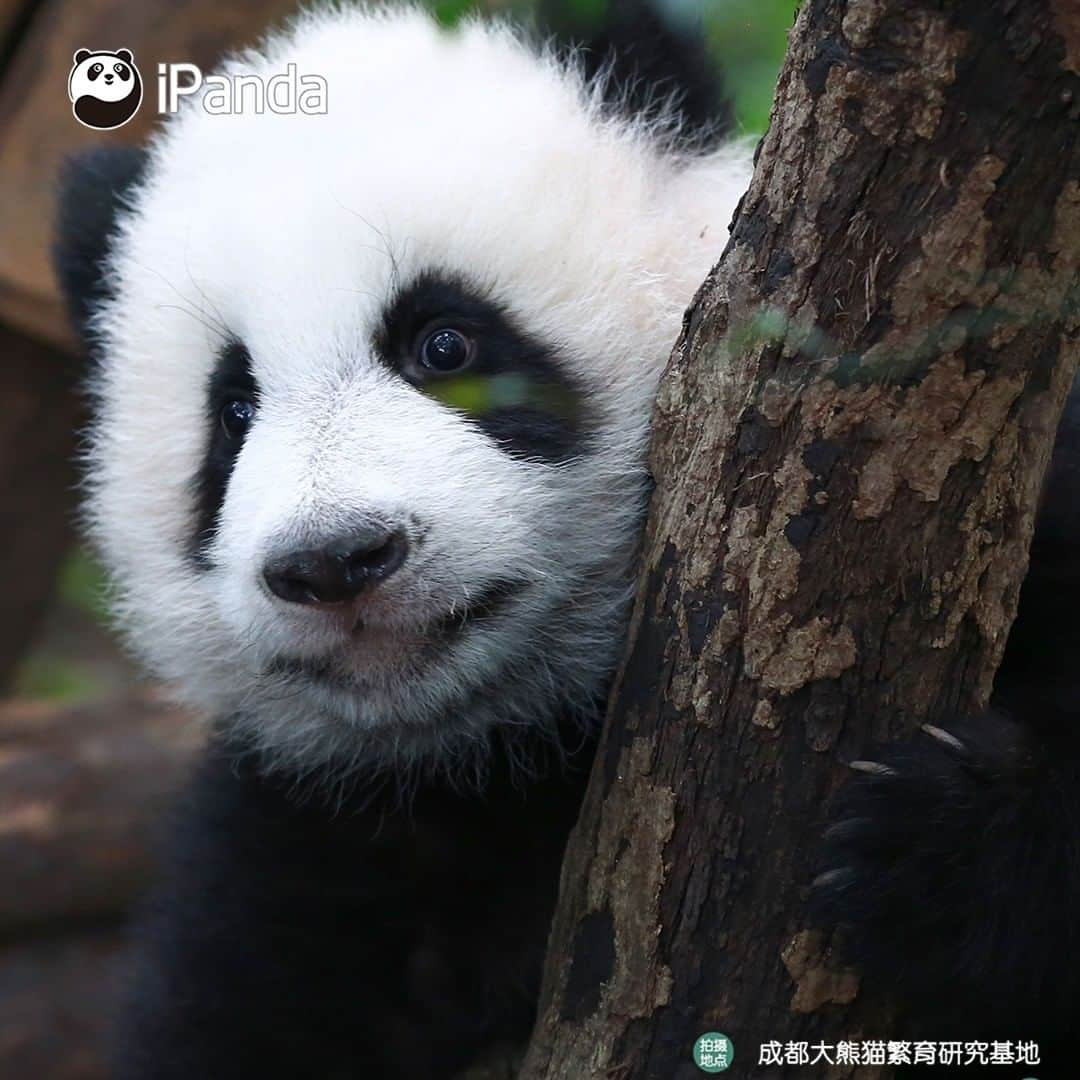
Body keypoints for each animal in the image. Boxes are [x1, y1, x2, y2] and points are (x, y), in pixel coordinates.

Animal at [54, 2, 1080, 1080]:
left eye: (446, 345)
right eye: (235, 412)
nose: (336, 562)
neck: (518, 751)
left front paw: (942, 845)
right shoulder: (314, 840)